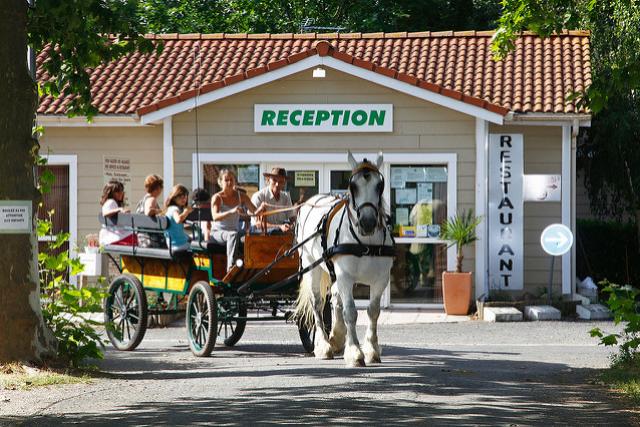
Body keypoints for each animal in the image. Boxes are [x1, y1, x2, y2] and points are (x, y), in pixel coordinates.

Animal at [296, 153, 396, 368]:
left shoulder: (381, 279)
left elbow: (373, 311)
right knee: (318, 303)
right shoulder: (345, 276)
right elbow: (351, 312)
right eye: (353, 185)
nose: (367, 222)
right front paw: (354, 352)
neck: (367, 243)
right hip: (311, 266)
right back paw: (323, 345)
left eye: (379, 185)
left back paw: (336, 338)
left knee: (335, 299)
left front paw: (371, 349)